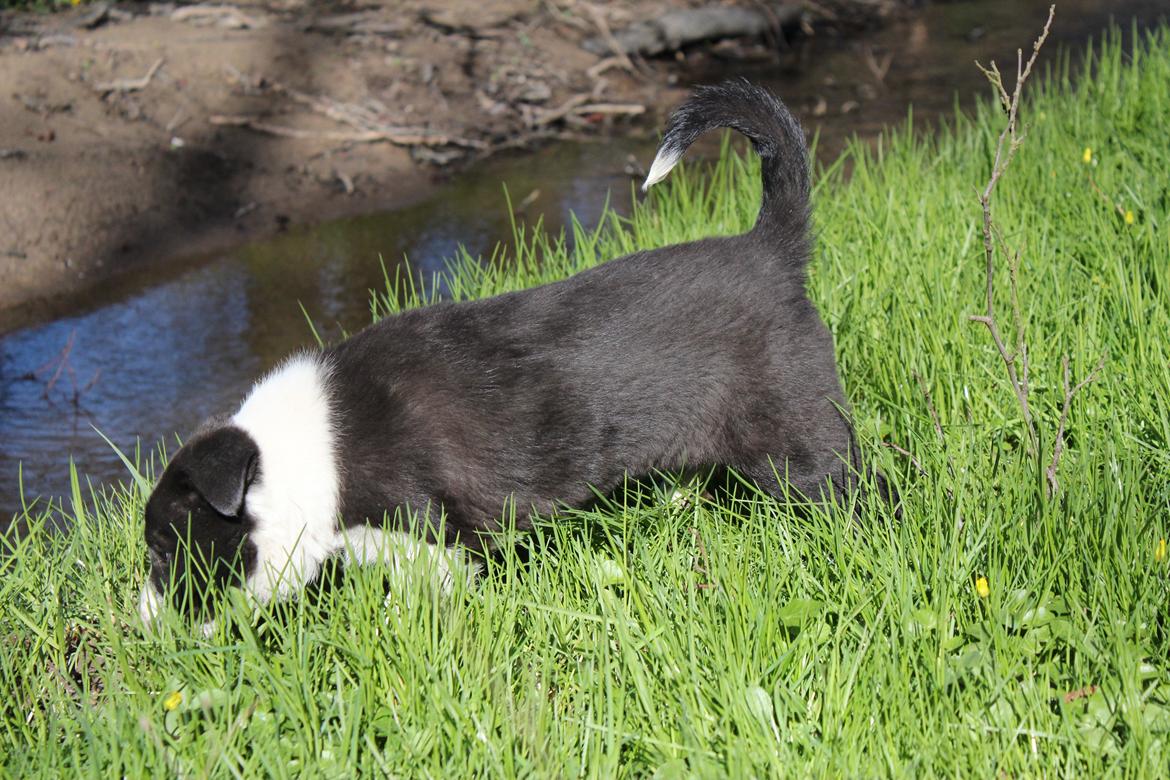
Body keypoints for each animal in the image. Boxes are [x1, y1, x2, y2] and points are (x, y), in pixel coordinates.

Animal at [139, 80, 879, 626]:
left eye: (162, 551)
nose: (143, 627)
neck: (309, 454)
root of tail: (771, 251)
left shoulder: (434, 539)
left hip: (801, 438)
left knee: (856, 492)